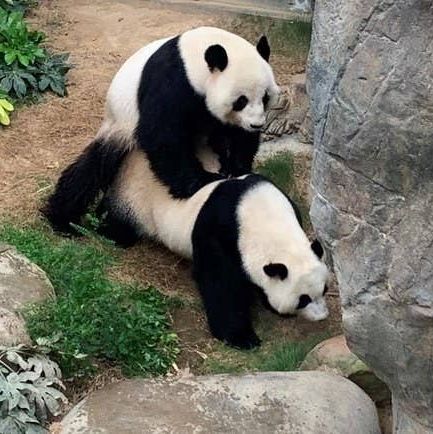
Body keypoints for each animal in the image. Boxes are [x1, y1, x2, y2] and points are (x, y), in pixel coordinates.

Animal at [42, 26, 278, 234]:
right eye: (241, 101)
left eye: (265, 97)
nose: (256, 125)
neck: (194, 60)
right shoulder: (172, 81)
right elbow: (162, 135)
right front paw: (201, 180)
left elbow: (236, 135)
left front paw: (237, 168)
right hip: (119, 125)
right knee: (92, 169)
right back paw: (63, 220)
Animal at [97, 148, 328, 350]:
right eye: (303, 299)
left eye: (324, 289)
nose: (322, 316)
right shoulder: (219, 231)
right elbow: (220, 283)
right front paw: (242, 337)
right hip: (134, 198)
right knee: (117, 221)